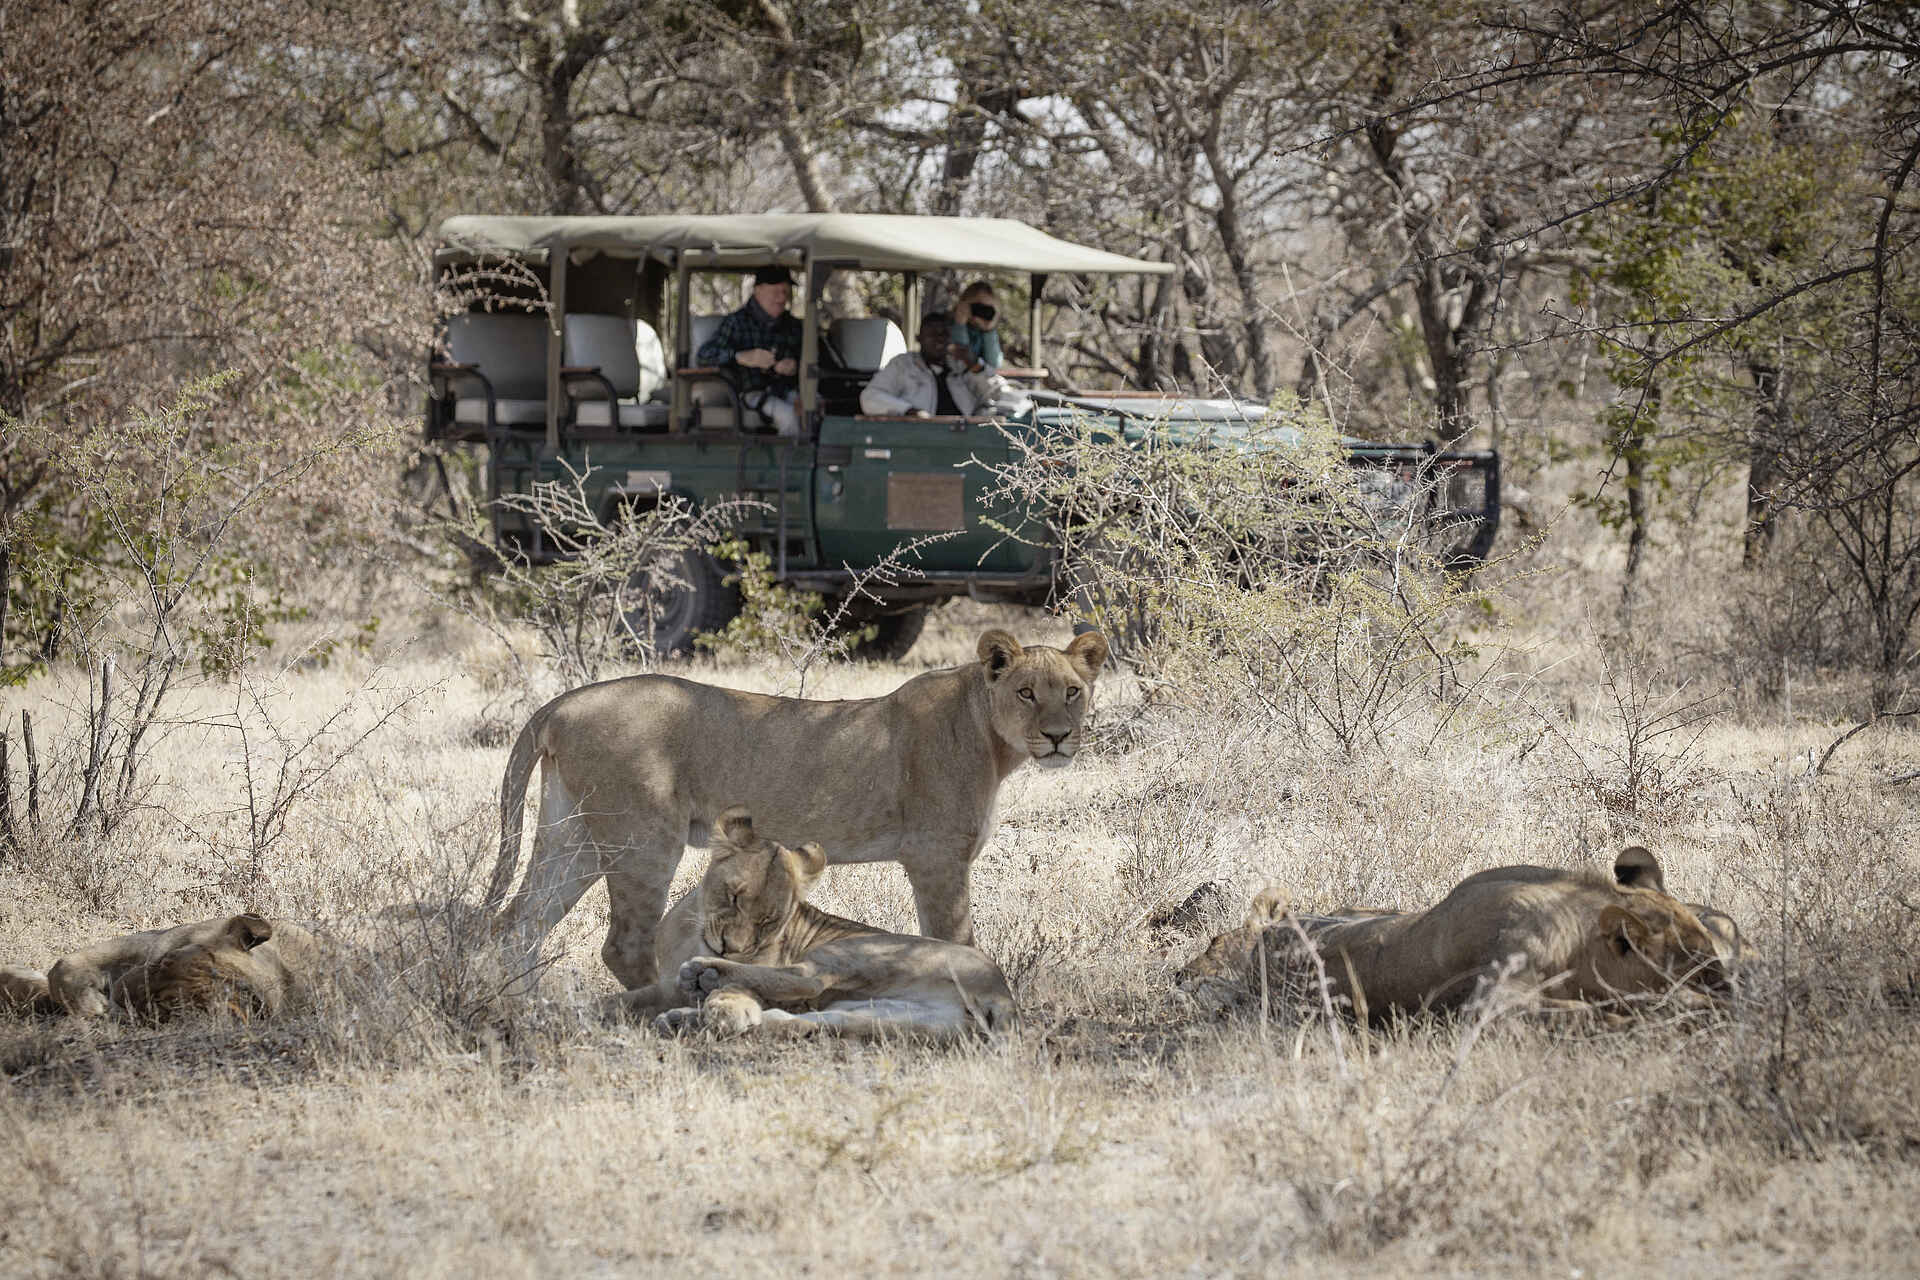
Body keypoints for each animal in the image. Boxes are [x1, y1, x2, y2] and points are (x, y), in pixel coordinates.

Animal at [489, 628, 1108, 988]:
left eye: (1072, 691)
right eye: (1026, 692)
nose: (1059, 737)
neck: (990, 736)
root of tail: (564, 702)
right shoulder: (936, 858)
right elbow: (954, 939)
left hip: (572, 835)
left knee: (517, 926)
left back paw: (523, 1008)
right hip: (643, 838)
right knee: (623, 945)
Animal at [603, 808, 1015, 1042]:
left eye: (769, 921)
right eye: (733, 897)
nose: (728, 948)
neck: (694, 937)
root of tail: (1003, 994)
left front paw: (720, 1001)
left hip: (853, 951)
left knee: (807, 978)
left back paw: (707, 978)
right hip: (881, 1015)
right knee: (800, 1021)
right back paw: (685, 1019)